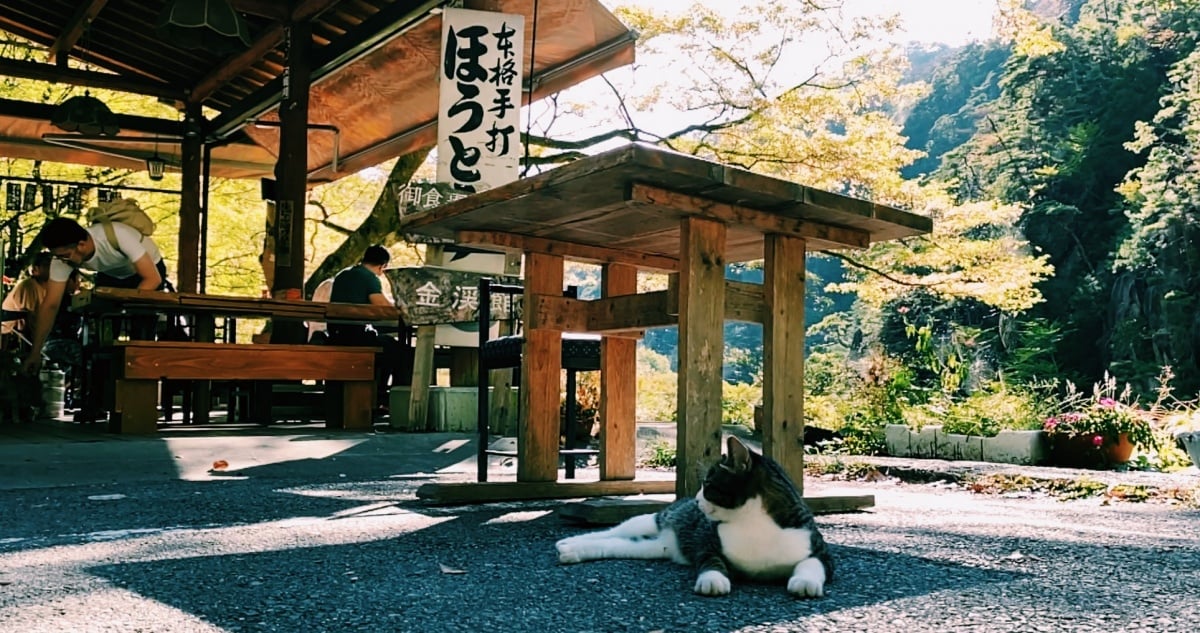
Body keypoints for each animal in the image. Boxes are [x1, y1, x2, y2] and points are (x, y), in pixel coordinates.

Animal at [559, 436, 835, 599]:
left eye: (708, 484)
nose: (696, 499)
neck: (753, 524)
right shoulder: (707, 542)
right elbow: (710, 560)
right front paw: (713, 579)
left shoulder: (820, 550)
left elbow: (813, 564)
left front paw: (805, 582)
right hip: (655, 519)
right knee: (615, 531)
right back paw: (569, 542)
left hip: (655, 548)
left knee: (616, 545)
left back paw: (572, 551)